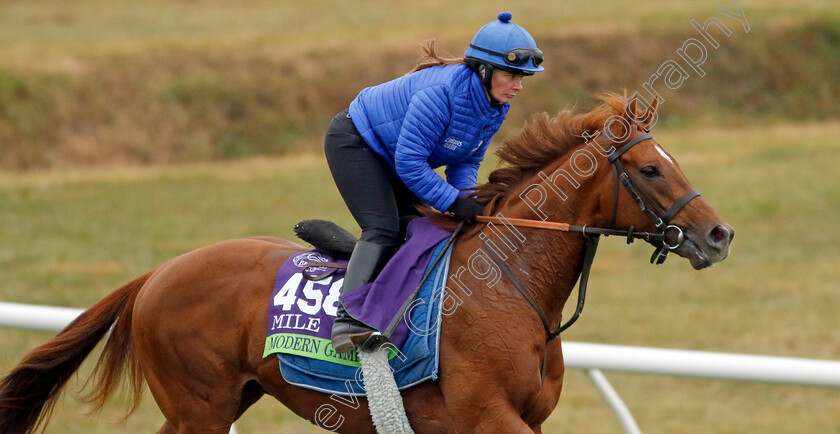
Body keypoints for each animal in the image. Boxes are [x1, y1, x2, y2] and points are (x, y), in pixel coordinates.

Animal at [0, 93, 736, 432]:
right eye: (650, 169)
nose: (719, 234)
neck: (511, 285)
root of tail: (157, 274)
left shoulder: (524, 418)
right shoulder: (487, 416)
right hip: (199, 405)